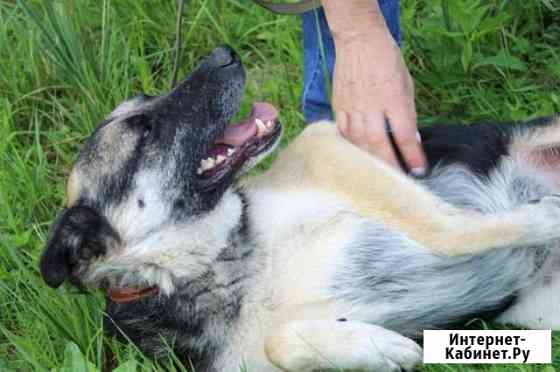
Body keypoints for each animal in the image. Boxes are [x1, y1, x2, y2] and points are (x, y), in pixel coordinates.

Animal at [41, 47, 560, 372]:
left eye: (146, 103)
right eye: (144, 129)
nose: (224, 53)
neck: (214, 264)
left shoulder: (324, 142)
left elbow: (445, 229)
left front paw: (543, 217)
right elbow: (282, 343)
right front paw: (379, 348)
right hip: (542, 314)